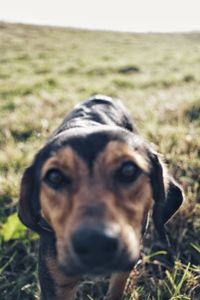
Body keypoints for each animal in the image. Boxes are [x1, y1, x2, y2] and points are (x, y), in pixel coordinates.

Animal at [18, 95, 184, 300]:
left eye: (128, 170)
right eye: (54, 177)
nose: (95, 243)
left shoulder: (127, 261)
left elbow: (116, 288)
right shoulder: (55, 283)